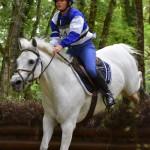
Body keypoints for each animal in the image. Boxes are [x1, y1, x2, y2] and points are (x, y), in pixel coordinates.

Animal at [10, 38, 142, 150]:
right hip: (126, 90)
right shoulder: (48, 120)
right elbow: (43, 145)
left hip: (131, 85)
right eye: (17, 61)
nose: (14, 82)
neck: (59, 85)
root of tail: (121, 48)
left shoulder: (68, 125)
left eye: (31, 61)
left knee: (139, 80)